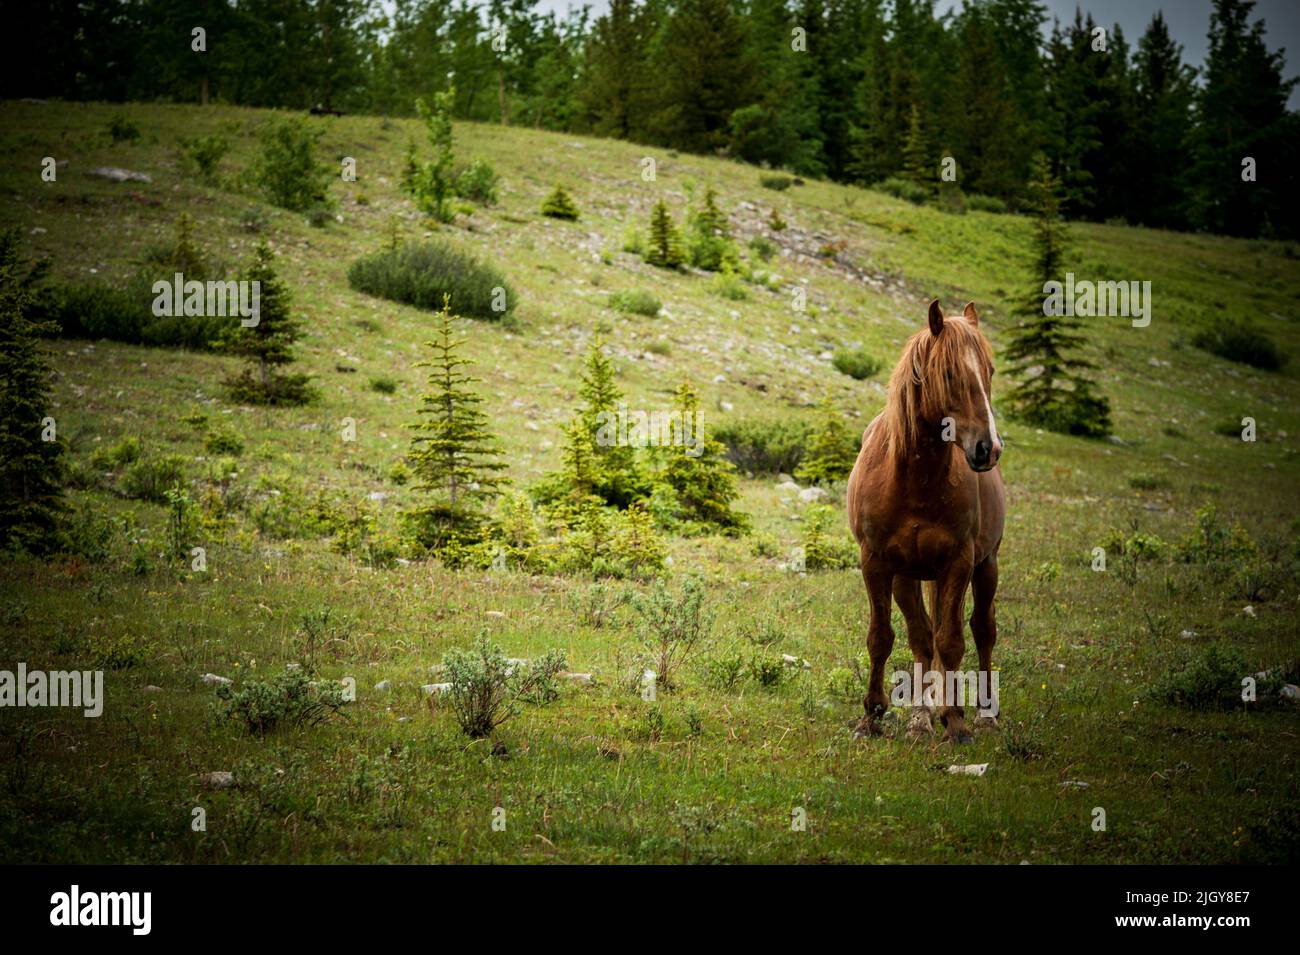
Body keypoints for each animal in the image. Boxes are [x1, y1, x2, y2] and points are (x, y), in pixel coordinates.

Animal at [846, 299, 1006, 744]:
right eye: (949, 373)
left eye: (989, 371)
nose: (988, 448)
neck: (912, 479)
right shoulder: (876, 562)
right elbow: (882, 637)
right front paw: (872, 715)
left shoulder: (959, 563)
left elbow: (951, 641)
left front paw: (956, 722)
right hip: (907, 576)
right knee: (921, 636)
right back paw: (920, 718)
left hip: (987, 566)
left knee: (982, 629)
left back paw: (984, 714)